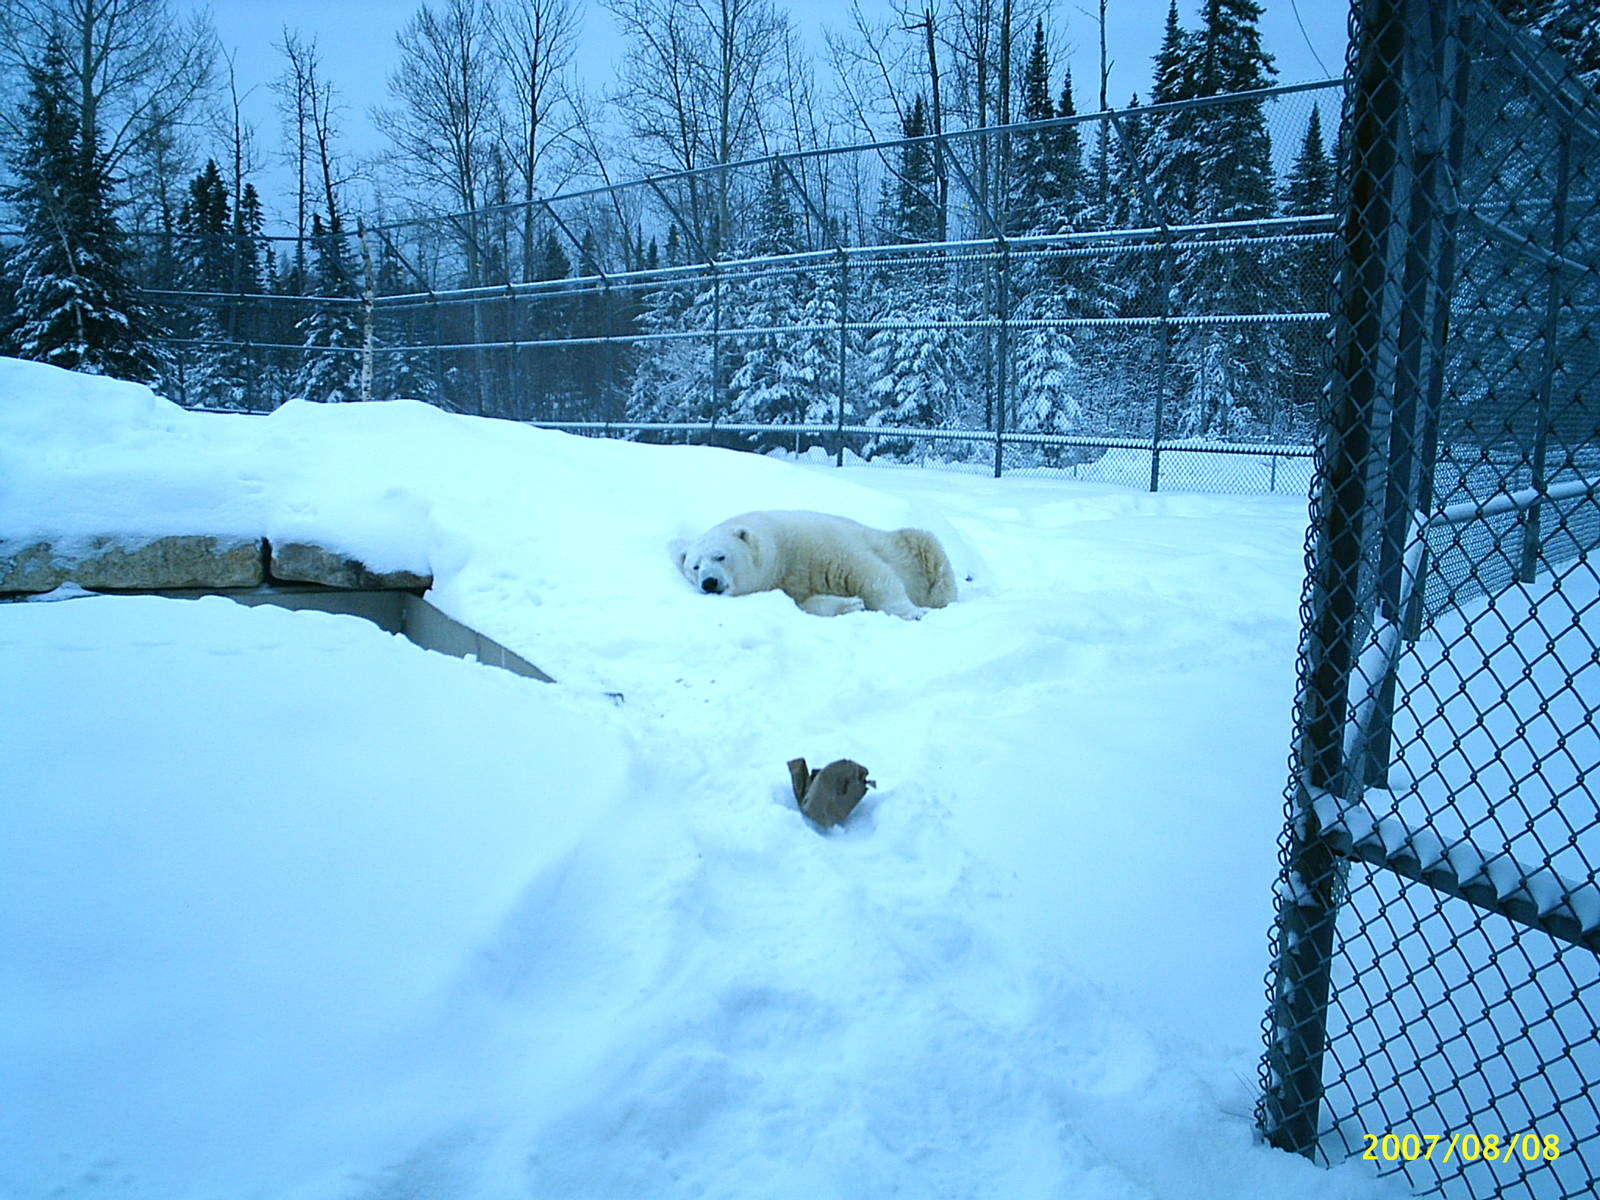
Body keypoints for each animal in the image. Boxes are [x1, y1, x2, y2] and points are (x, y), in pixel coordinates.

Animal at [674, 510, 957, 620]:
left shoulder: (821, 544)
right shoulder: (787, 582)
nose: (709, 582)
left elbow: (869, 573)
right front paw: (852, 604)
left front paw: (913, 613)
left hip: (912, 547)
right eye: (695, 567)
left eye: (720, 556)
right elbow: (809, 603)